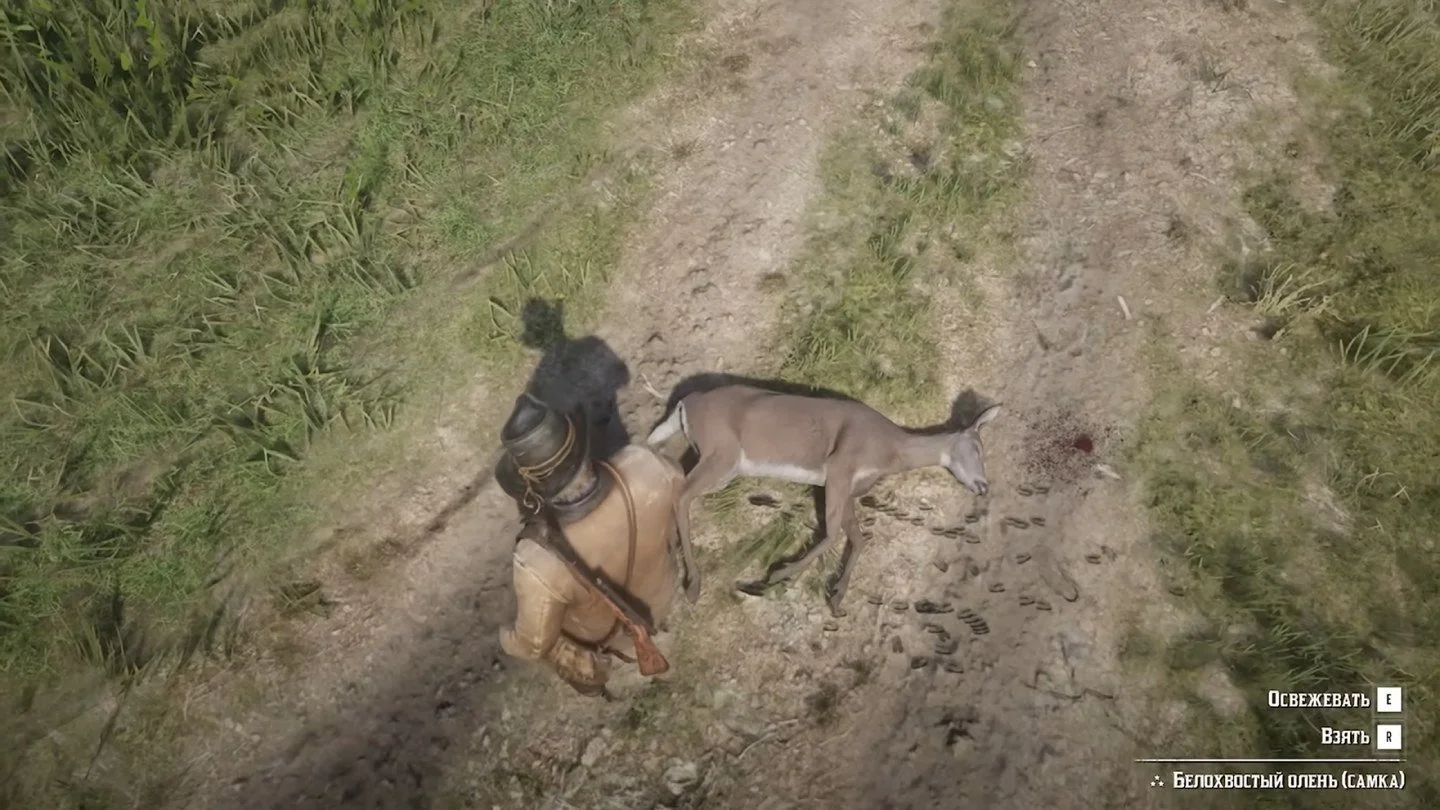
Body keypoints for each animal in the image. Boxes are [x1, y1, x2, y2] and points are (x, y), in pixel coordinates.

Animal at [645, 383, 1000, 616]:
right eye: (977, 447)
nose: (983, 486)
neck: (889, 449)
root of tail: (684, 404)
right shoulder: (840, 467)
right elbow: (831, 533)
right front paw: (771, 577)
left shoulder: (848, 487)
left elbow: (857, 538)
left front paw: (836, 597)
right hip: (723, 454)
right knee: (682, 495)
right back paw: (692, 585)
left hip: (715, 459)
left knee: (677, 485)